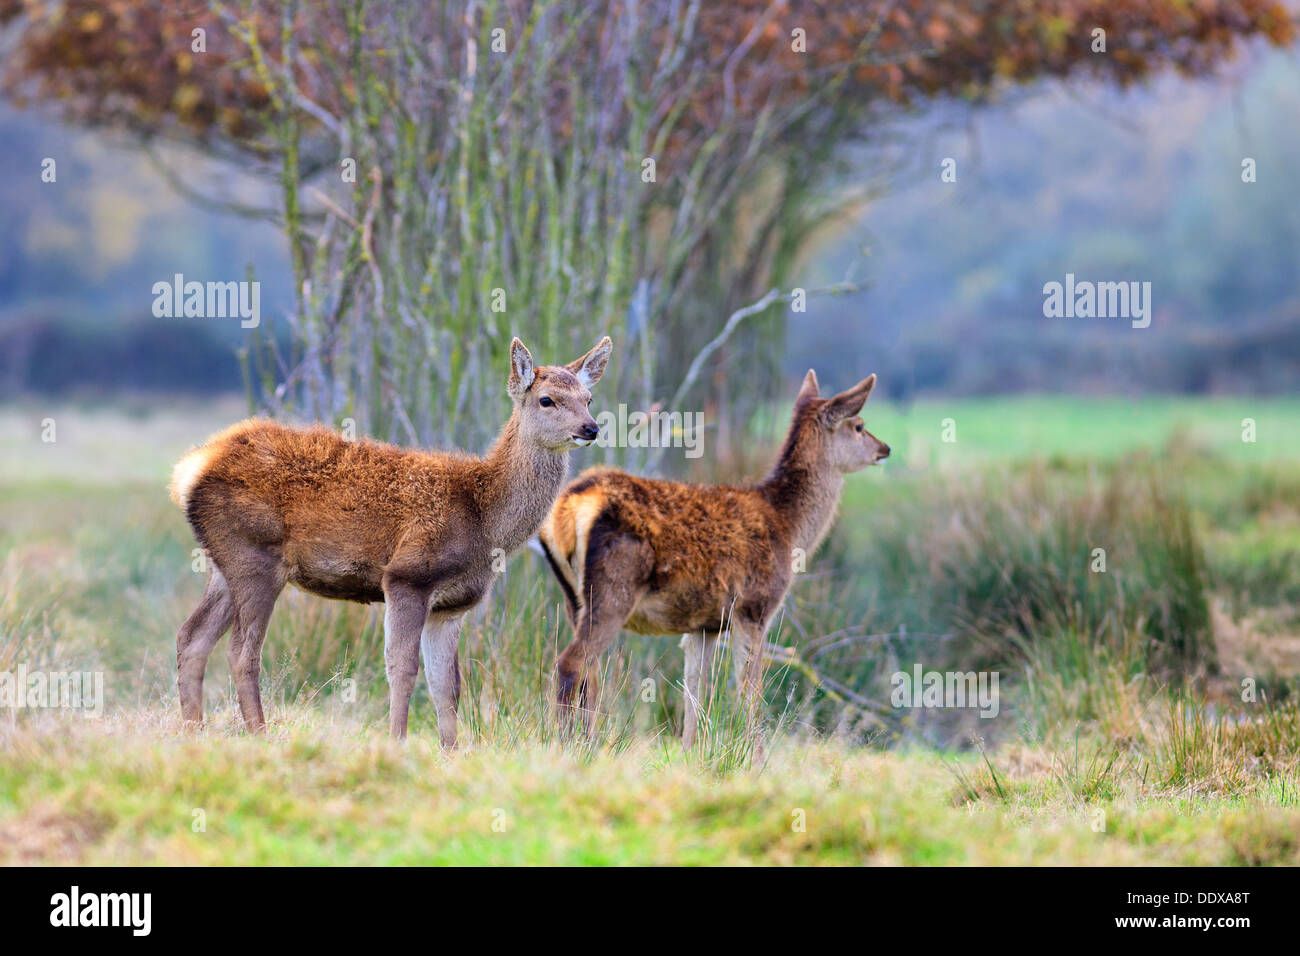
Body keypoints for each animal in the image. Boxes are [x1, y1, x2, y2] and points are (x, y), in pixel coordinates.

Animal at [170, 335, 611, 749]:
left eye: (588, 398)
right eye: (546, 399)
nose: (591, 428)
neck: (483, 521)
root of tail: (191, 467)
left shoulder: (451, 606)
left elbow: (447, 685)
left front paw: (451, 753)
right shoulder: (407, 576)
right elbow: (402, 670)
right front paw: (397, 742)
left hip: (223, 562)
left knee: (192, 638)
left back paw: (194, 732)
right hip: (254, 555)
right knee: (241, 651)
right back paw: (259, 735)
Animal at [535, 366, 883, 749]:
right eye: (859, 425)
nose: (884, 448)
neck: (788, 527)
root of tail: (568, 506)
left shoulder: (704, 625)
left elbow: (695, 696)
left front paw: (689, 752)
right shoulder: (754, 608)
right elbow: (749, 694)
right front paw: (753, 755)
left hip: (573, 597)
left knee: (589, 673)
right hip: (614, 588)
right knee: (571, 664)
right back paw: (572, 746)